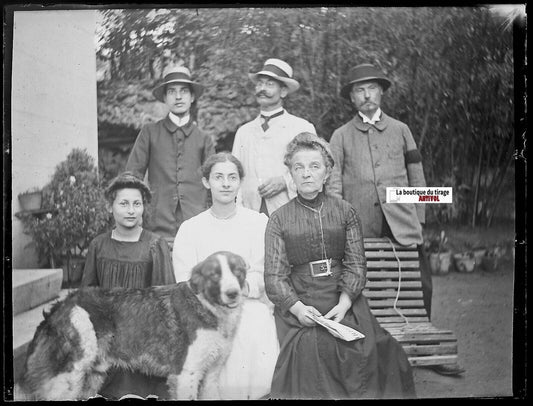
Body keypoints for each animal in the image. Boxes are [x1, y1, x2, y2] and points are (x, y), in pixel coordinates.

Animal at [16, 251, 247, 400]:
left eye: (238, 272)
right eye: (214, 275)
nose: (233, 293)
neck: (207, 306)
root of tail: (61, 305)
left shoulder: (210, 376)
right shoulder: (185, 375)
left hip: (92, 376)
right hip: (70, 374)